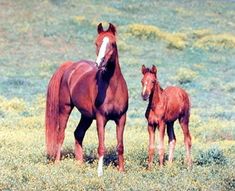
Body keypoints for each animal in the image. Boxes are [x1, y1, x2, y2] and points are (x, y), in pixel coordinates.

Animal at [45, 22, 129, 176]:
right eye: (96, 43)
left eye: (113, 44)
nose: (100, 63)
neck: (112, 88)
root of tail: (70, 66)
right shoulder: (101, 118)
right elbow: (101, 146)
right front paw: (100, 173)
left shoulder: (121, 118)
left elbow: (120, 145)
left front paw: (121, 170)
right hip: (65, 108)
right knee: (61, 135)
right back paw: (58, 163)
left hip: (86, 116)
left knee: (78, 133)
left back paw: (80, 164)